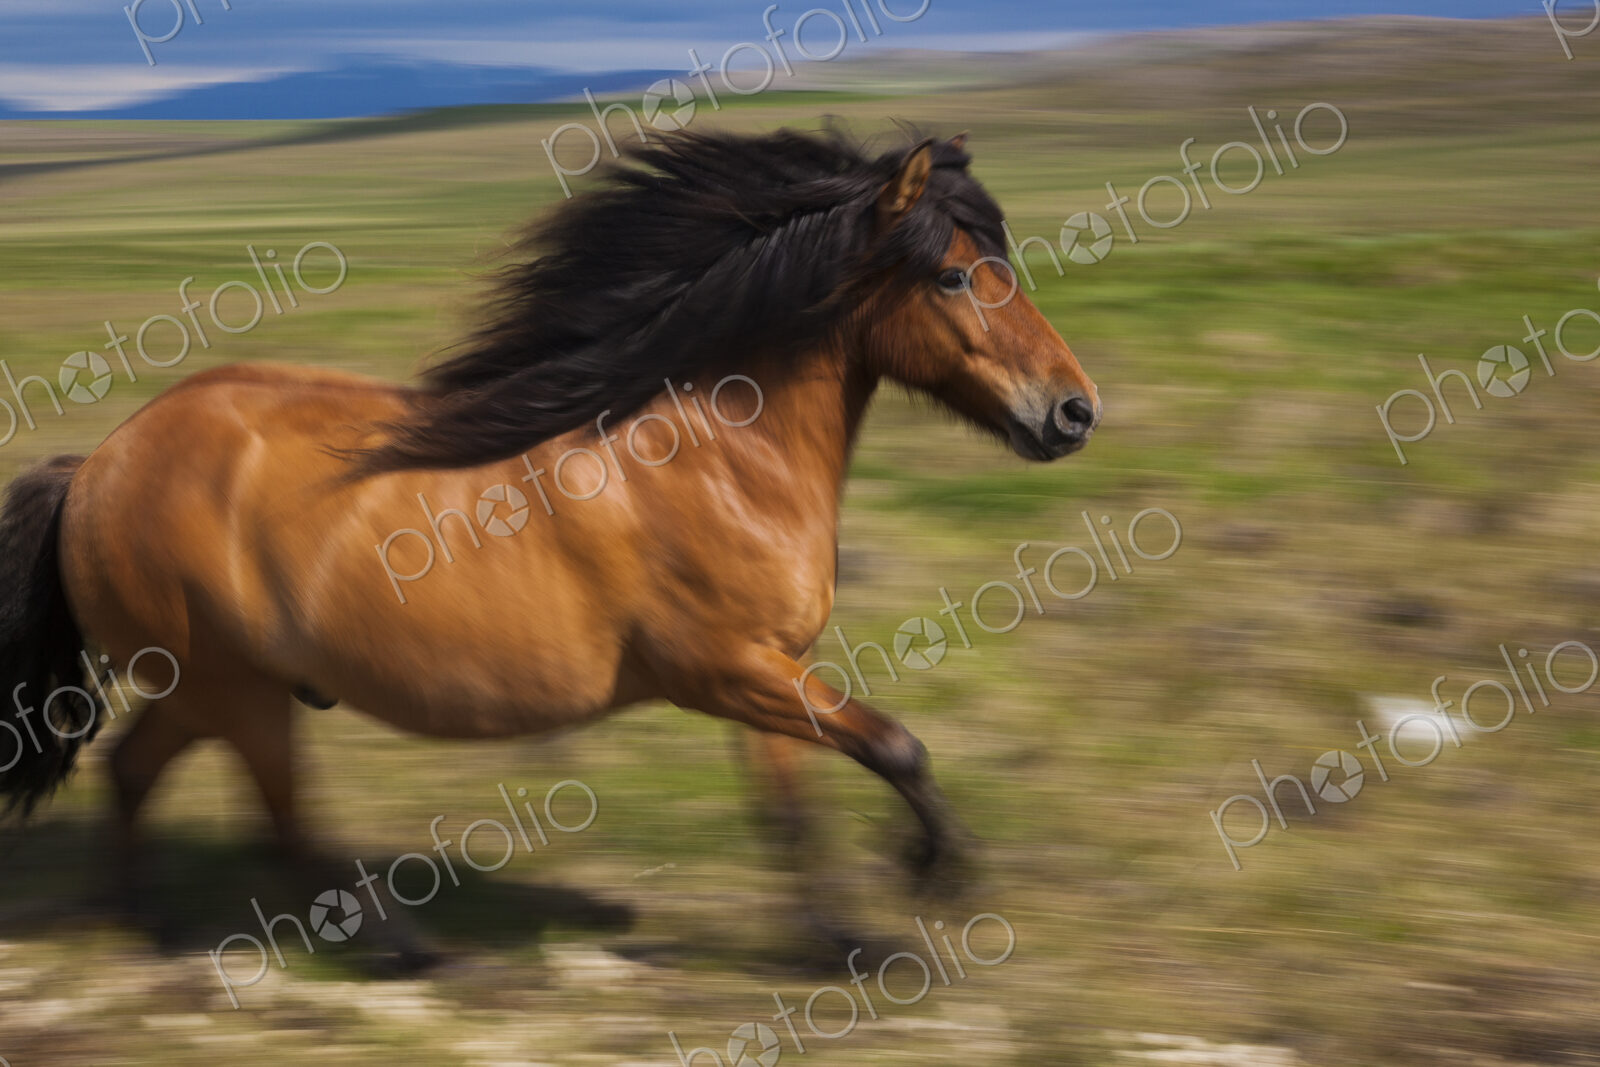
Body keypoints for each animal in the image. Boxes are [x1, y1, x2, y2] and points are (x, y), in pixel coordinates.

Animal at [0, 128, 1099, 962]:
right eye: (953, 275)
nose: (1074, 411)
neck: (717, 456)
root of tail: (99, 463)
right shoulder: (722, 668)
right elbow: (896, 744)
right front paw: (934, 871)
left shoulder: (771, 670)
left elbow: (792, 808)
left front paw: (845, 939)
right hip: (236, 691)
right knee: (283, 817)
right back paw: (401, 948)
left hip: (209, 690)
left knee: (135, 771)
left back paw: (143, 921)